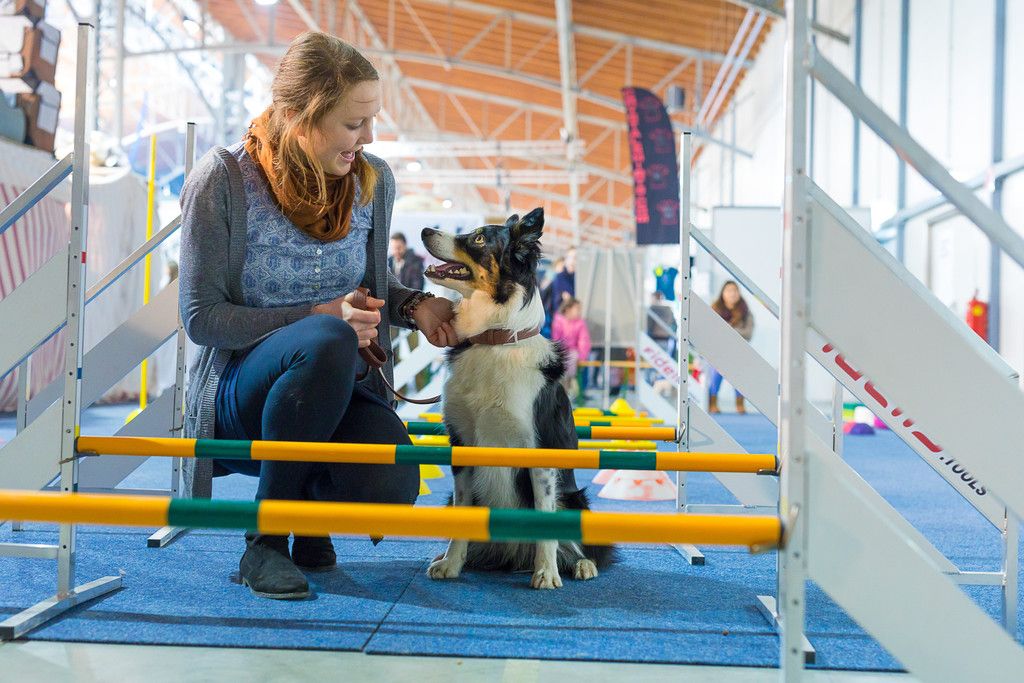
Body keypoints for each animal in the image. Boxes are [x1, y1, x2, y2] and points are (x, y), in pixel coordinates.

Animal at [420, 207, 614, 589]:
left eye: (479, 238)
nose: (423, 230)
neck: (493, 339)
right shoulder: (462, 444)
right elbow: (462, 513)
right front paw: (451, 563)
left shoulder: (539, 452)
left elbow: (546, 523)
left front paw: (547, 573)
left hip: (574, 498)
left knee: (580, 545)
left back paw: (581, 565)